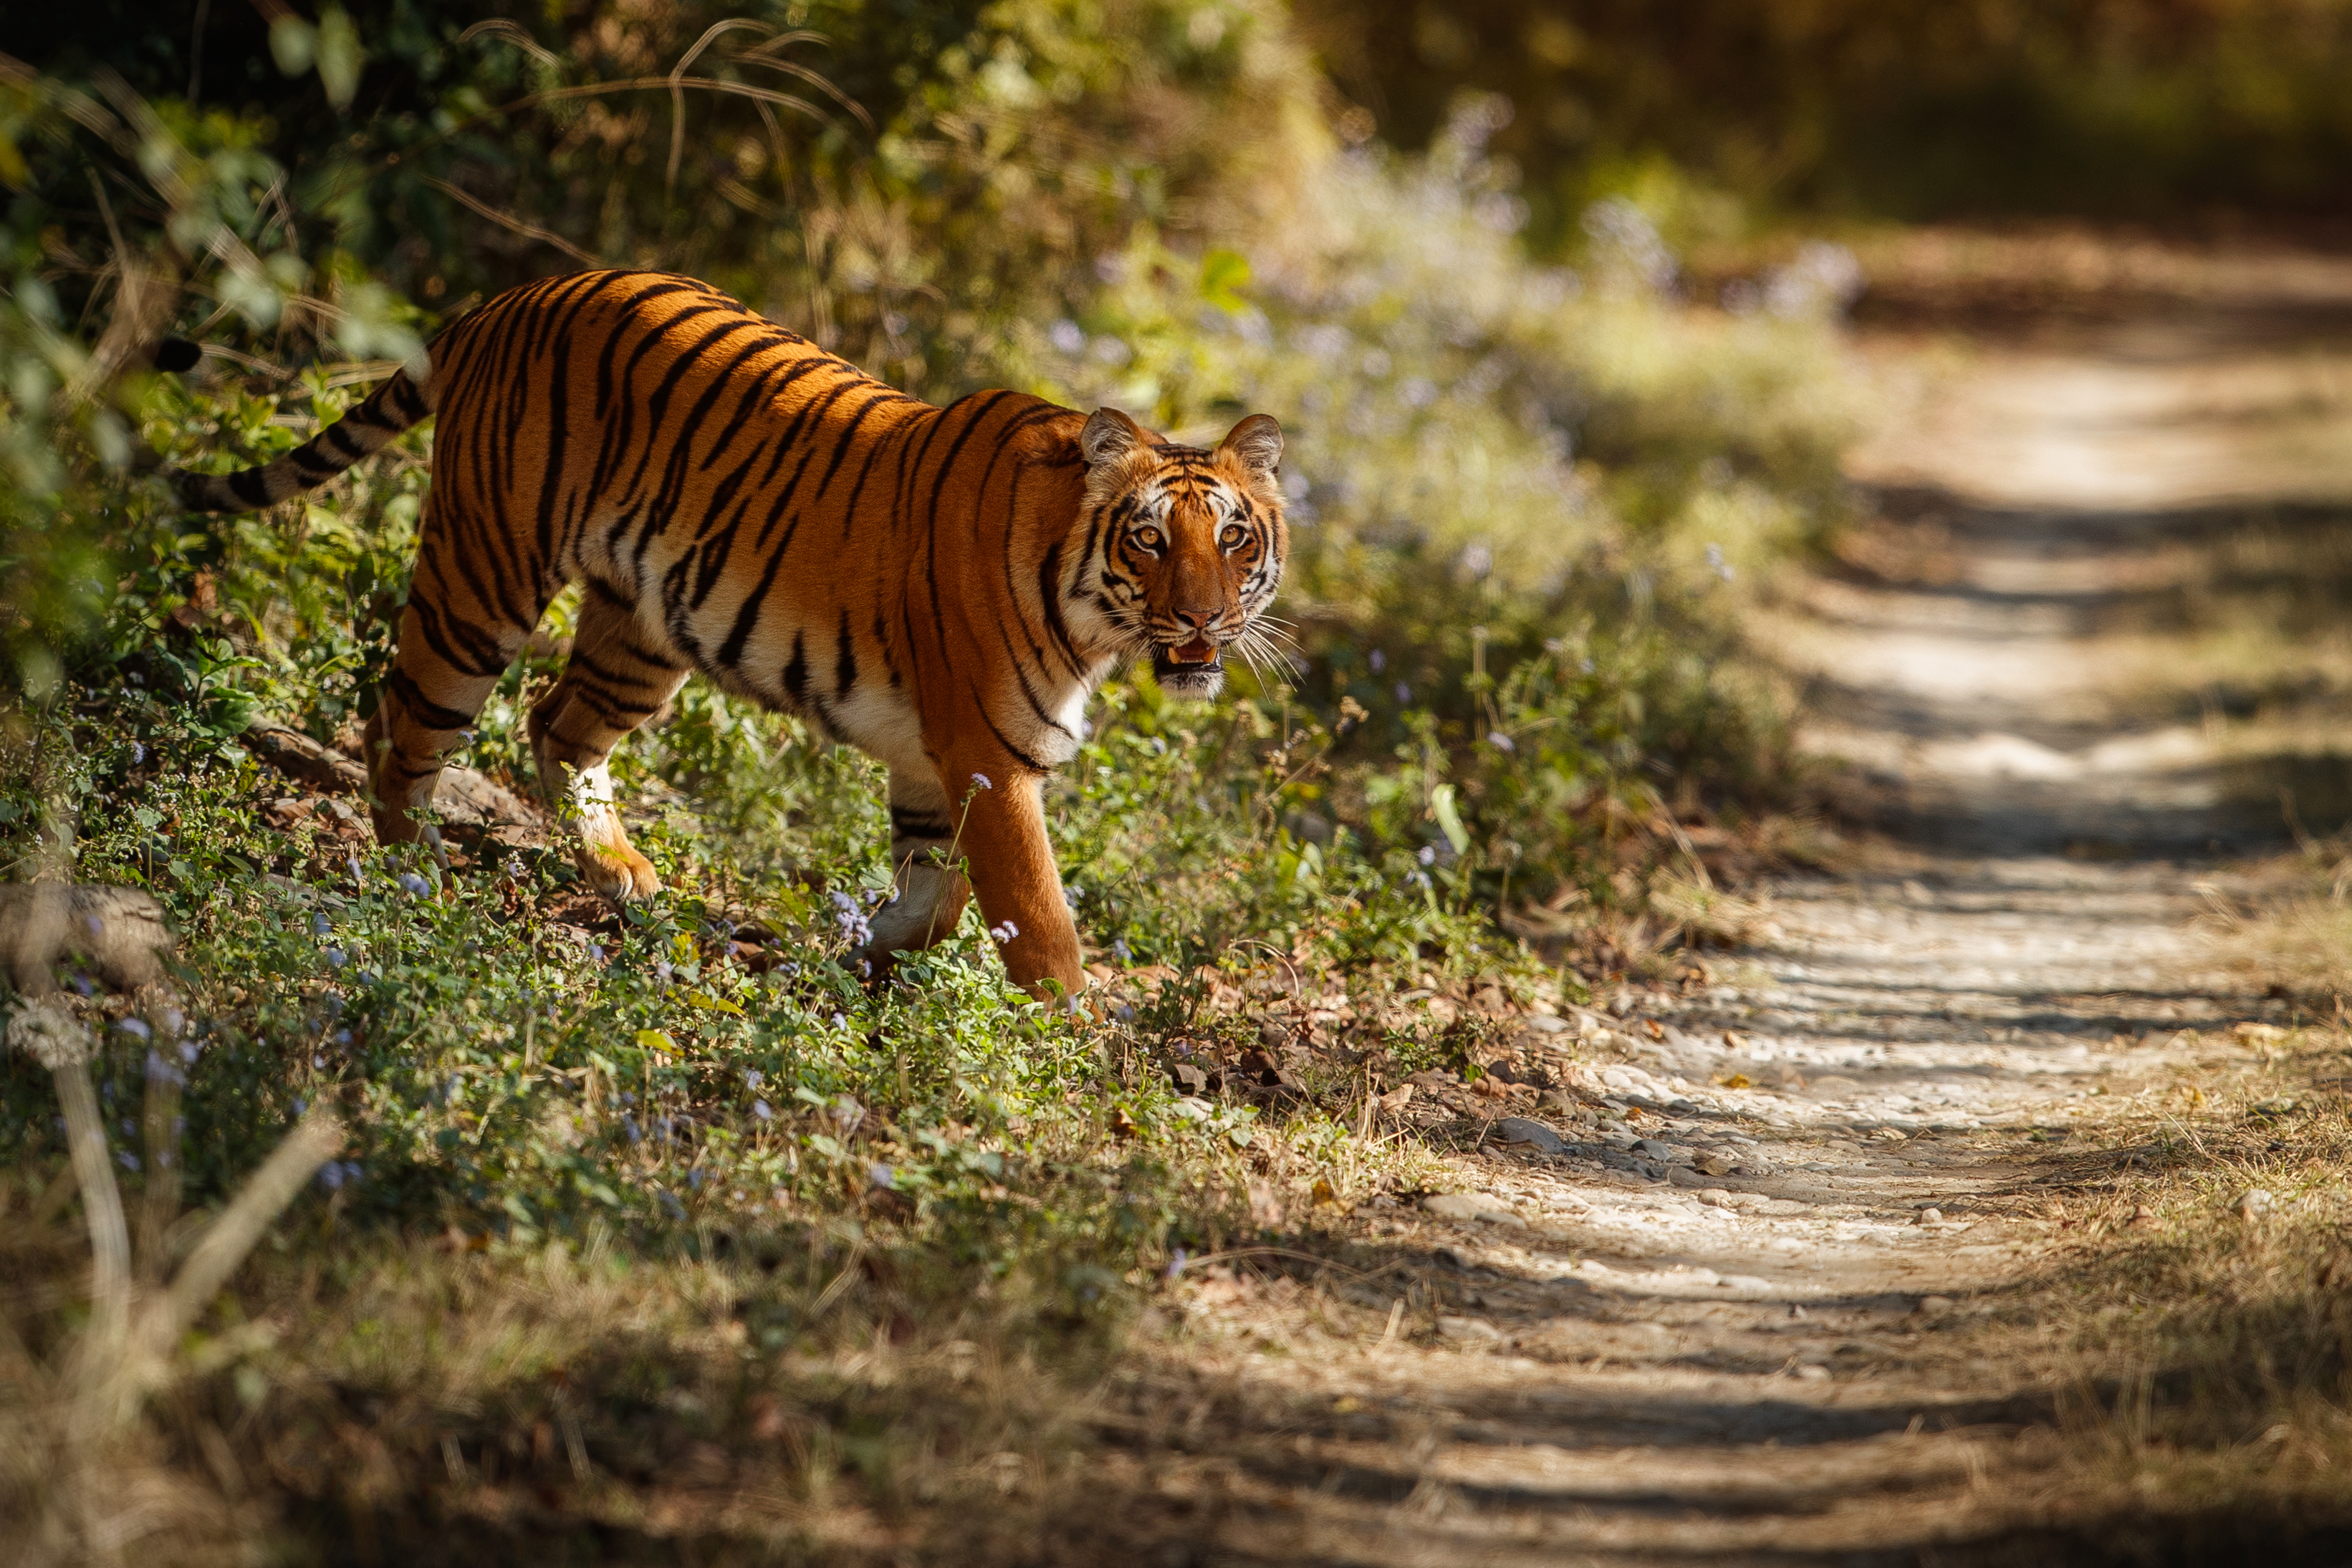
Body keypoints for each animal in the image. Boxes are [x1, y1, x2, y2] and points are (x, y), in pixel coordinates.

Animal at [171, 266, 1289, 1006]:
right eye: (1149, 538)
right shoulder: (989, 756)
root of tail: (512, 296)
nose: (1204, 617)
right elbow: (1040, 920)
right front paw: (1072, 1045)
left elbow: (936, 895)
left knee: (557, 722)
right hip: (483, 577)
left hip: (644, 630)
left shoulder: (934, 763)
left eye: (1234, 538)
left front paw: (861, 959)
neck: (1090, 614)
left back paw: (621, 875)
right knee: (402, 727)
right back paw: (418, 882)